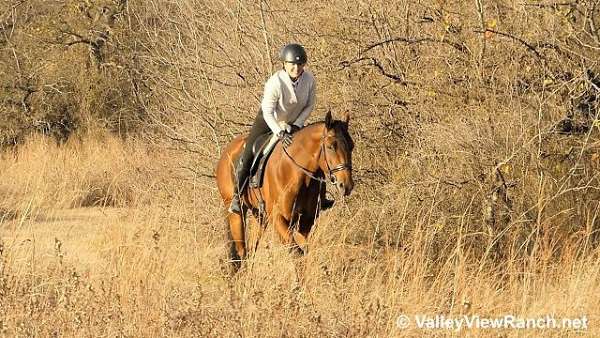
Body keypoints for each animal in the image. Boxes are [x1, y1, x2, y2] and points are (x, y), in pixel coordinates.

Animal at [216, 112, 354, 268]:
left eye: (352, 146)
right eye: (331, 147)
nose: (346, 185)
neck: (295, 171)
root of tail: (227, 152)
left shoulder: (306, 222)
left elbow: (303, 252)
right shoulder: (278, 218)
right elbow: (296, 252)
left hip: (260, 216)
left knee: (251, 249)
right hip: (236, 212)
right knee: (242, 251)